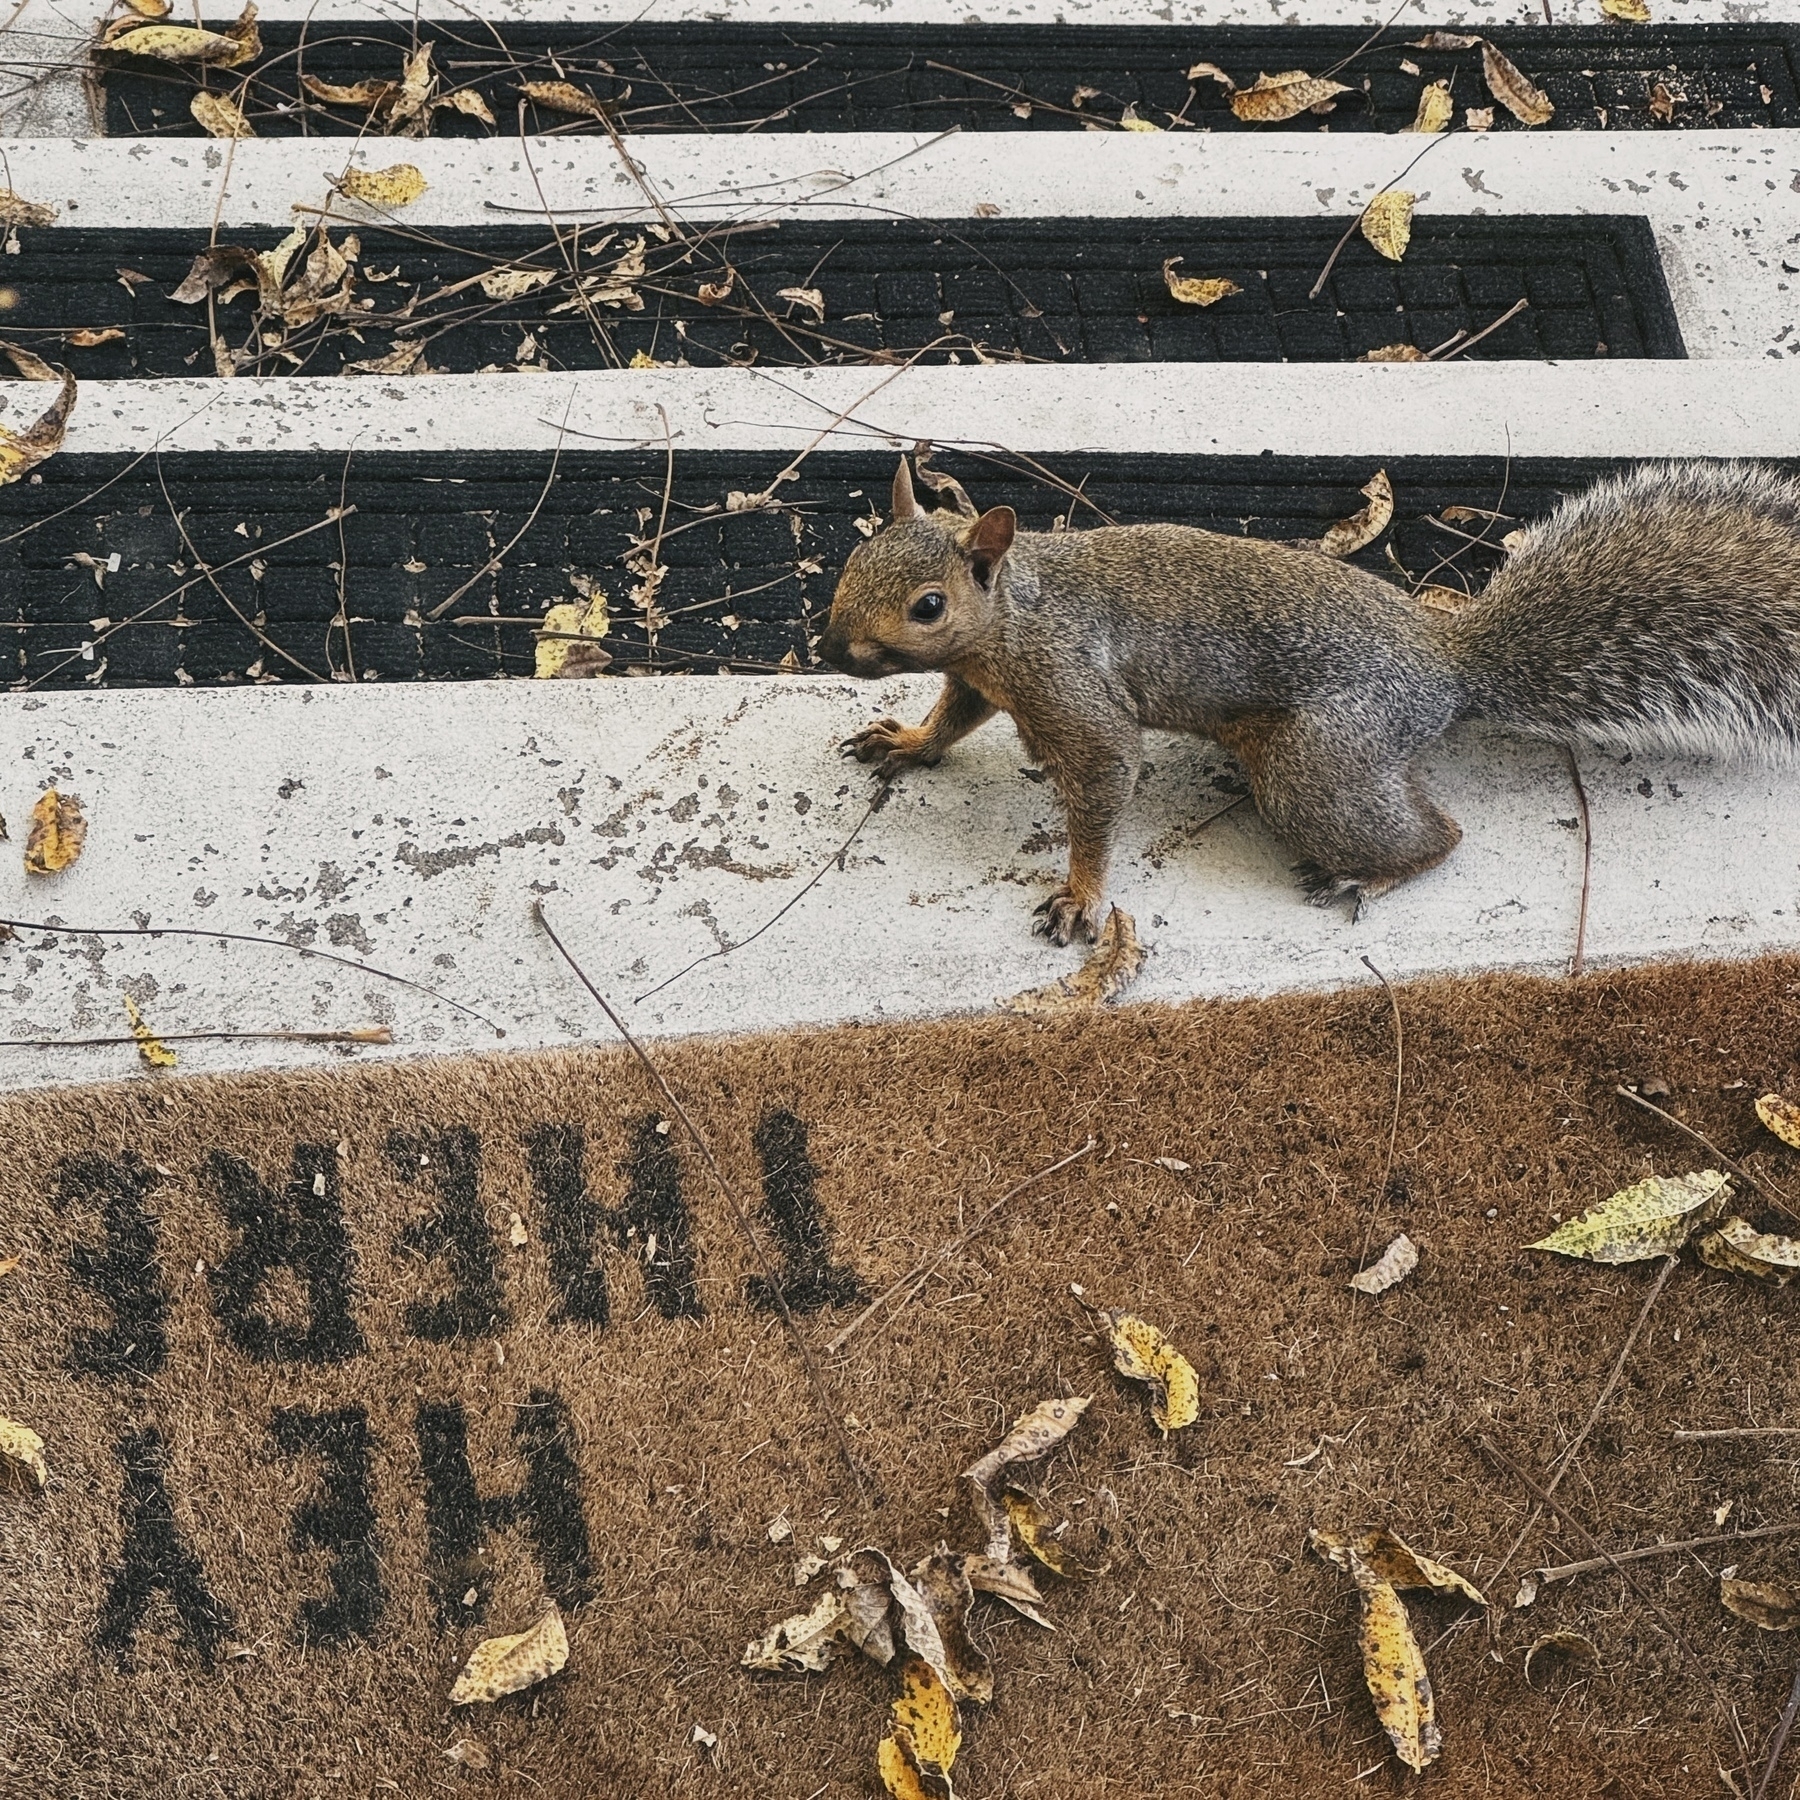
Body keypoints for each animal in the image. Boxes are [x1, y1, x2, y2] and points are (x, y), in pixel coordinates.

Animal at [817, 457, 1800, 950]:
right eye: (853, 560)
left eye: (928, 605)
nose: (831, 650)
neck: (1013, 619)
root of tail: (1447, 668)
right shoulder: (981, 681)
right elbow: (951, 721)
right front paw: (906, 741)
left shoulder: (1071, 687)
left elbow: (1104, 775)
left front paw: (1081, 895)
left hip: (1316, 761)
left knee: (1437, 834)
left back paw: (1369, 873)